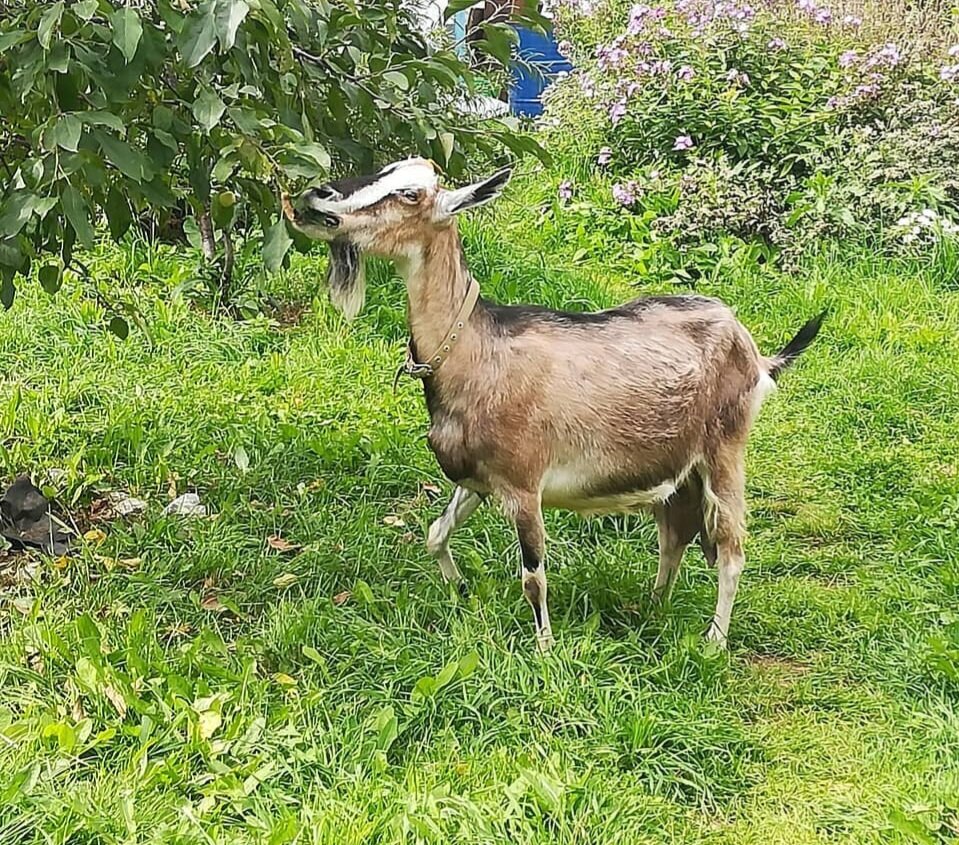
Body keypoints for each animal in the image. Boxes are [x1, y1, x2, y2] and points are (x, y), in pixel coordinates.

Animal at [290, 157, 824, 648]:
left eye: (409, 193)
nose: (317, 195)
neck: (476, 351)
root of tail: (755, 352)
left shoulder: (524, 485)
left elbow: (533, 577)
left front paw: (545, 653)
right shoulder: (477, 479)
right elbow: (435, 534)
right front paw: (460, 590)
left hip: (725, 451)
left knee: (731, 549)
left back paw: (713, 642)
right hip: (679, 472)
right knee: (673, 537)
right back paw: (653, 609)